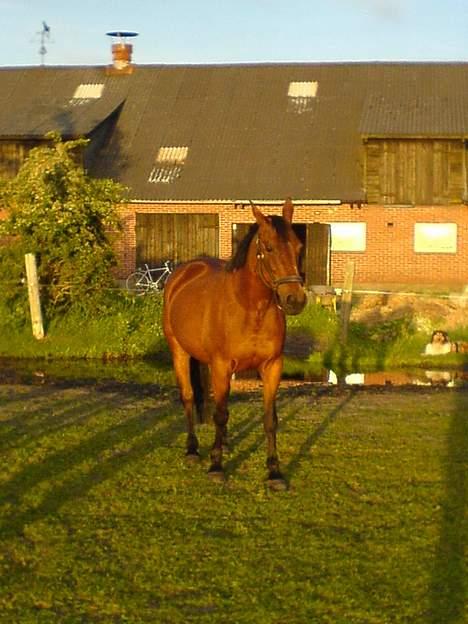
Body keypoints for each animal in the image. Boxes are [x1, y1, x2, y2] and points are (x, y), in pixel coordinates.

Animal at [162, 199, 308, 488]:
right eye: (269, 248)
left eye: (298, 247)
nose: (295, 300)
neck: (251, 308)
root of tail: (184, 272)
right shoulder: (221, 365)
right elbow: (220, 414)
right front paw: (216, 467)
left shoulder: (272, 367)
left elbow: (269, 419)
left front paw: (274, 472)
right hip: (179, 353)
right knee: (188, 397)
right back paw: (193, 450)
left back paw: (225, 444)